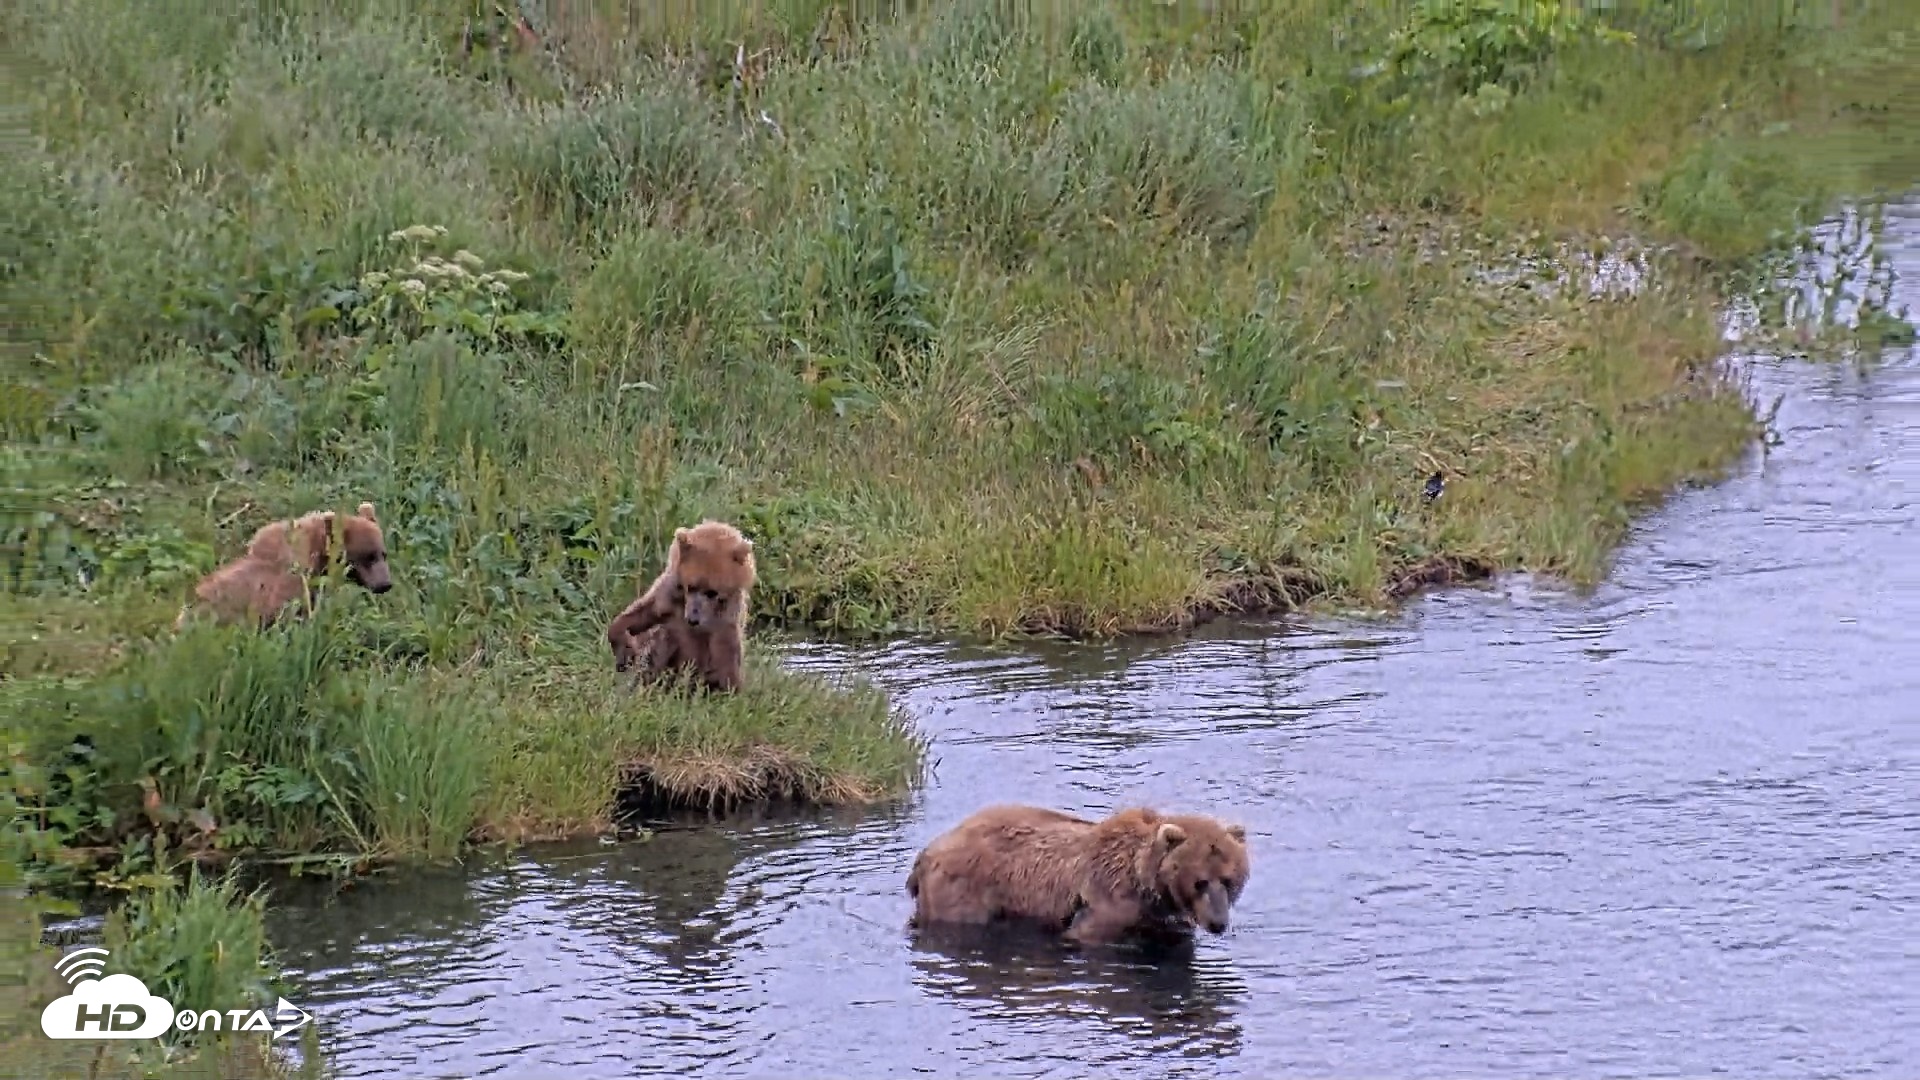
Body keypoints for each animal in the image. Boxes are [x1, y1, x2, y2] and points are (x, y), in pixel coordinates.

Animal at [605, 519, 755, 693]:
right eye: (691, 586)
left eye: (711, 592)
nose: (692, 619)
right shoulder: (669, 595)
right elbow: (645, 614)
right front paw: (623, 646)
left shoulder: (725, 621)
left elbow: (725, 657)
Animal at [905, 803, 1250, 947]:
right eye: (1200, 881)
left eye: (1229, 880)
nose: (1218, 923)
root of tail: (929, 849)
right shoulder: (1108, 902)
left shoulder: (1164, 921)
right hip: (965, 891)